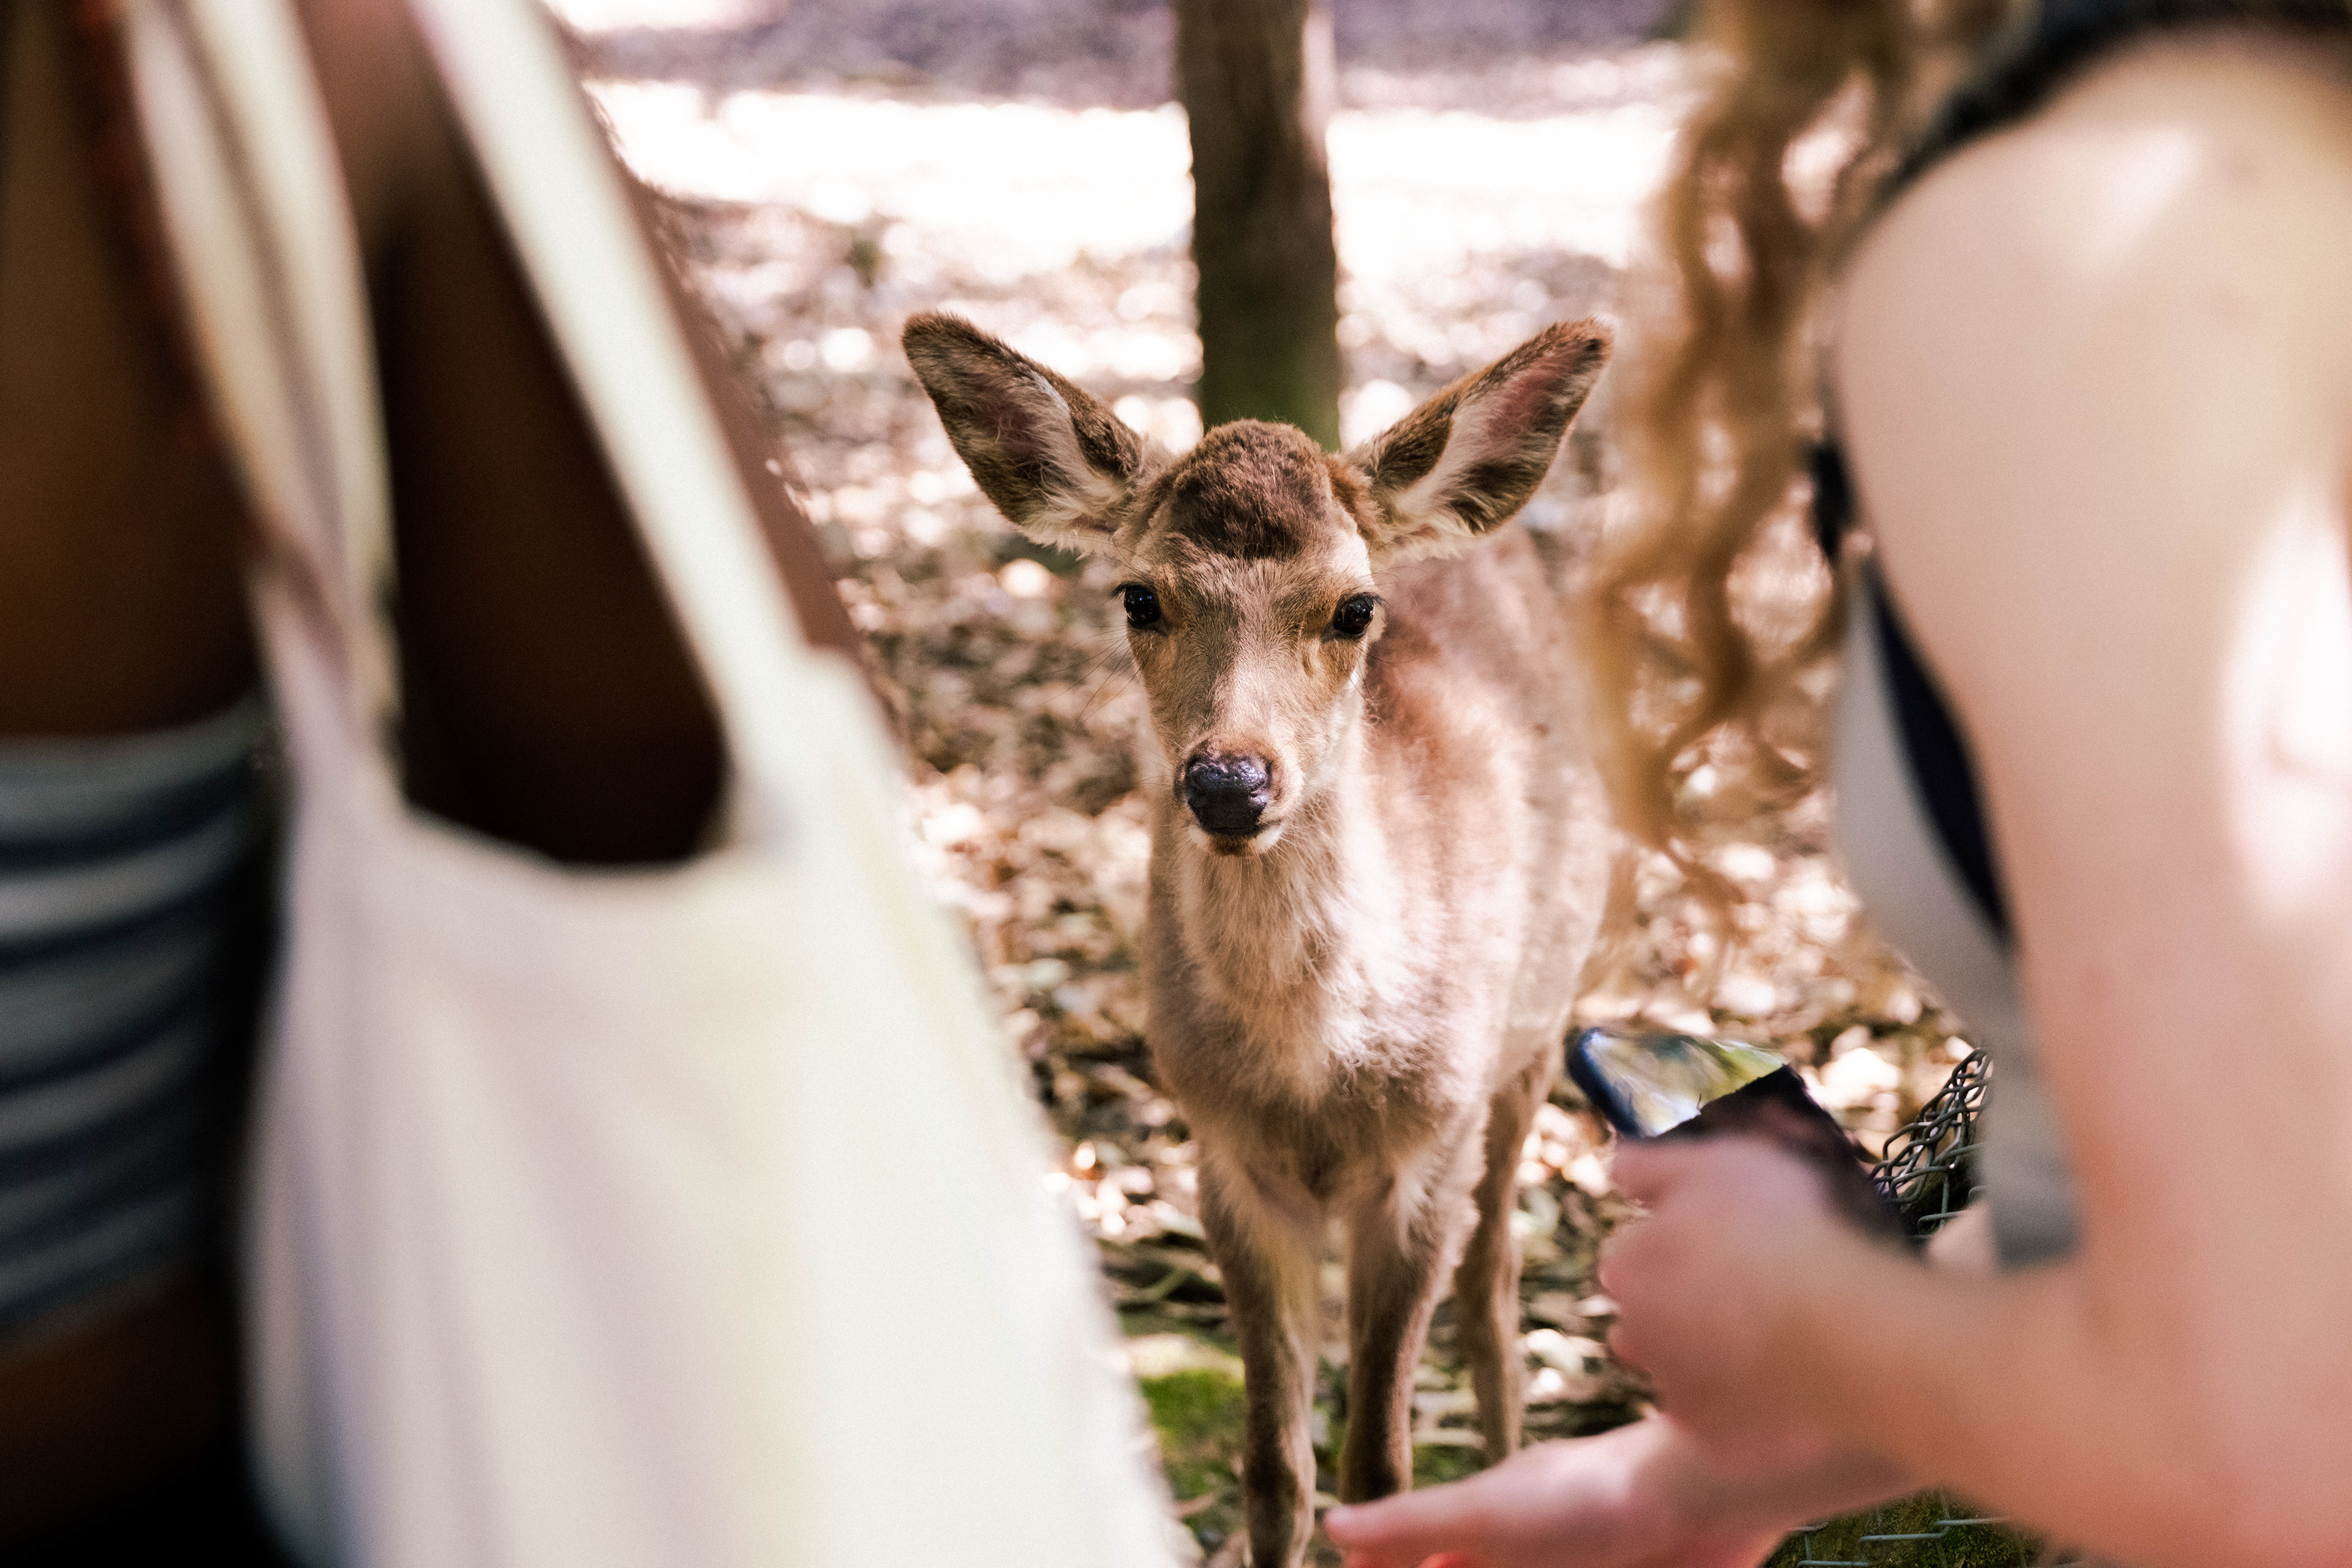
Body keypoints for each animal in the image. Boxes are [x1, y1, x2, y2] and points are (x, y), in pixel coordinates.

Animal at [904, 310, 1616, 1568]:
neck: (1312, 1073)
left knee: (1495, 1283)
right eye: (1138, 597)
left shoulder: (1423, 1150)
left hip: (1533, 1037)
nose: (1230, 782)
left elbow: (1380, 1467)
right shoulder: (1225, 1157)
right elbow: (1277, 1469)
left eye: (1353, 608)